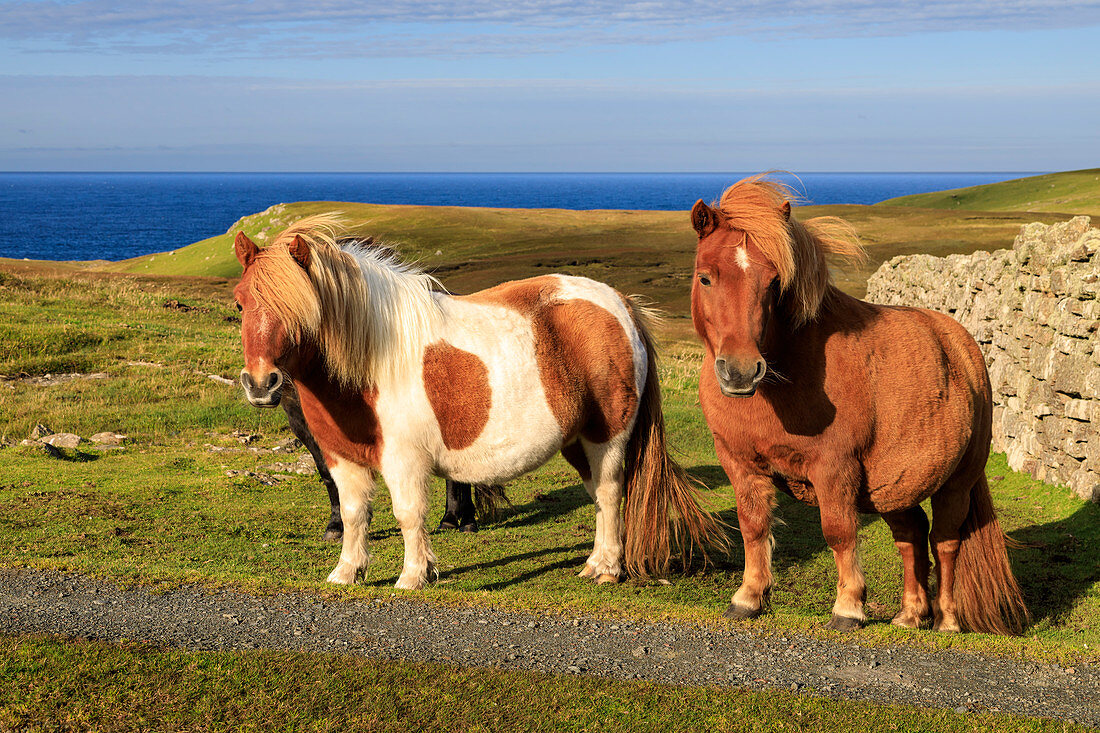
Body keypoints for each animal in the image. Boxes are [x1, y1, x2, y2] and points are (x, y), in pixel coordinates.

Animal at [236, 212, 726, 589]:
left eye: (300, 306)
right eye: (241, 304)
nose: (261, 384)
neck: (370, 360)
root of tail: (619, 302)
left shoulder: (404, 460)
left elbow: (408, 514)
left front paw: (413, 577)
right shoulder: (342, 458)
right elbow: (355, 514)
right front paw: (346, 573)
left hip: (605, 437)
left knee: (609, 493)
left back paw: (606, 569)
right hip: (577, 440)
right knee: (598, 495)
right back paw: (593, 565)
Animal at [690, 173, 1025, 629]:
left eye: (774, 282)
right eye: (706, 278)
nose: (741, 370)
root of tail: (963, 346)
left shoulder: (834, 468)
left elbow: (838, 532)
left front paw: (848, 606)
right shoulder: (740, 463)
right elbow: (753, 526)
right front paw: (748, 598)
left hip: (957, 482)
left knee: (945, 541)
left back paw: (947, 620)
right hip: (894, 484)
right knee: (911, 534)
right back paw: (909, 614)